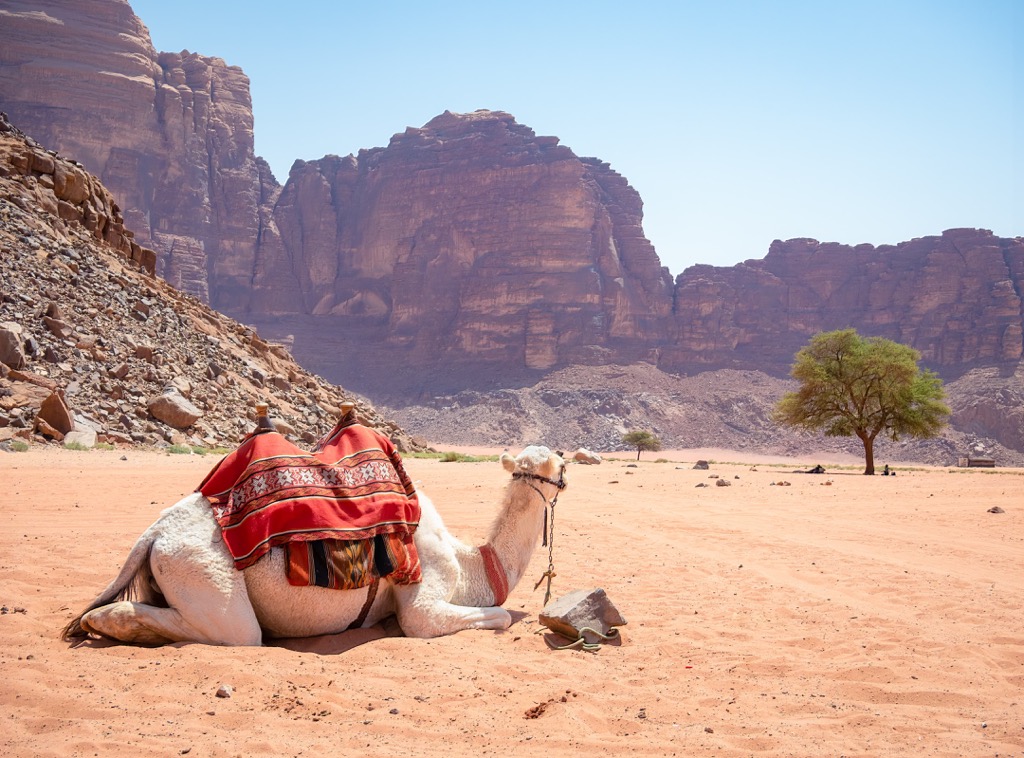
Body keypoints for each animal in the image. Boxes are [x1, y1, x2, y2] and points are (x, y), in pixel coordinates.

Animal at [61, 444, 569, 647]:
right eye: (560, 464)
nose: (562, 476)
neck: (471, 566)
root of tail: (154, 535)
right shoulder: (425, 598)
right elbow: (494, 616)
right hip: (203, 571)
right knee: (236, 633)